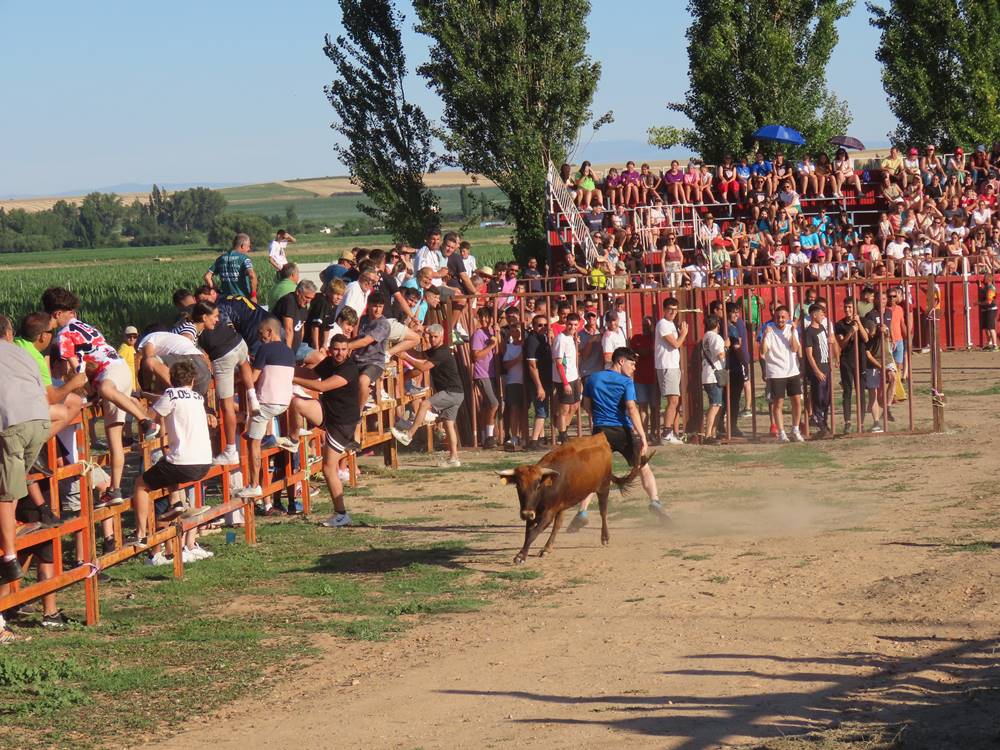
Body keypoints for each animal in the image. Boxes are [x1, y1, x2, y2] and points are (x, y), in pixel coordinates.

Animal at [496, 434, 652, 564]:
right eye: (518, 486)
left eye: (537, 485)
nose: (526, 513)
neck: (547, 486)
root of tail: (602, 438)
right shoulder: (534, 511)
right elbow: (529, 532)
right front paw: (524, 553)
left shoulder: (548, 513)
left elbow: (534, 533)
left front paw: (520, 557)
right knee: (559, 524)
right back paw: (547, 548)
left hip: (604, 487)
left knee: (603, 511)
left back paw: (605, 537)